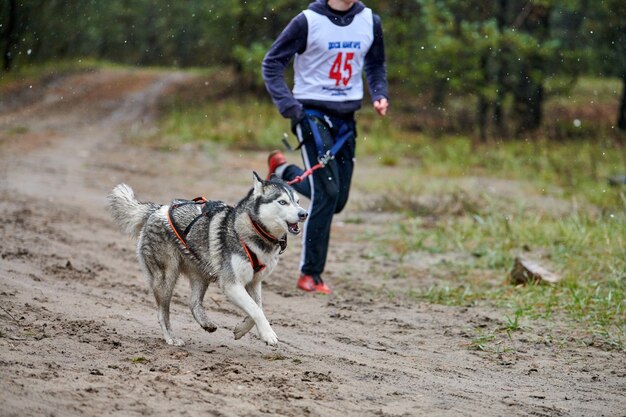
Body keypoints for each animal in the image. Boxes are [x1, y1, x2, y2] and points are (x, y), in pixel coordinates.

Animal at [107, 172, 308, 344]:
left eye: (297, 201)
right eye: (282, 202)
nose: (304, 213)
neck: (254, 231)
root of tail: (157, 209)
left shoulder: (254, 281)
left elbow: (257, 307)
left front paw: (242, 329)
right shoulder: (231, 284)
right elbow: (256, 310)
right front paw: (268, 334)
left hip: (201, 274)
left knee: (193, 302)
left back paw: (205, 323)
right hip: (166, 277)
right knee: (162, 313)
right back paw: (171, 338)